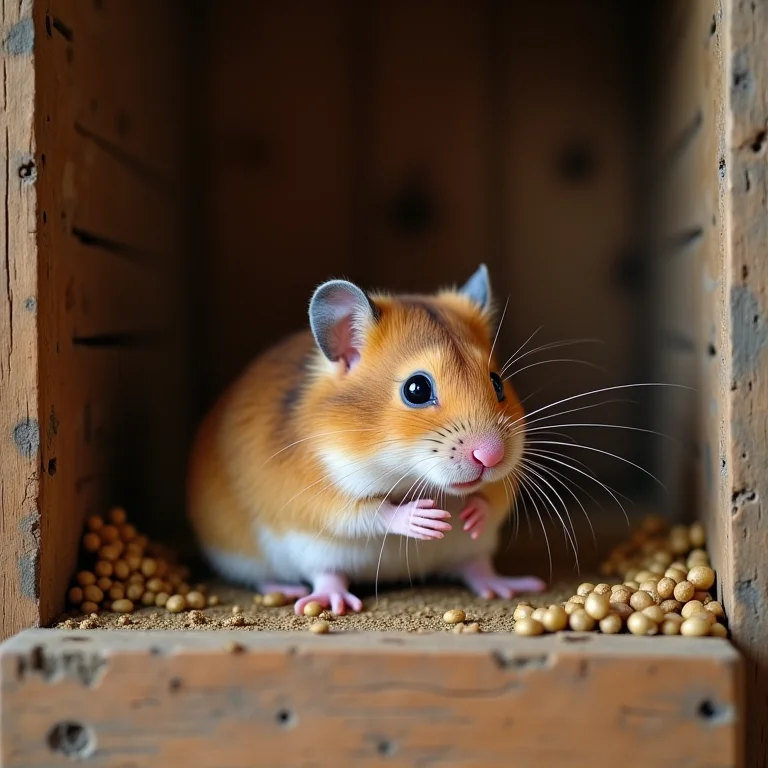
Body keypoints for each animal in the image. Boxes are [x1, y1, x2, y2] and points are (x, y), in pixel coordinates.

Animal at [186, 264, 546, 614]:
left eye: (497, 383)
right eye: (417, 389)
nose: (491, 456)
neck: (408, 475)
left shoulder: (505, 484)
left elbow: (491, 497)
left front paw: (471, 514)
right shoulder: (321, 498)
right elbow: (372, 512)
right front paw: (426, 519)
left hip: (472, 550)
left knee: (477, 567)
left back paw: (508, 586)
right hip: (297, 554)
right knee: (323, 576)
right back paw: (315, 598)